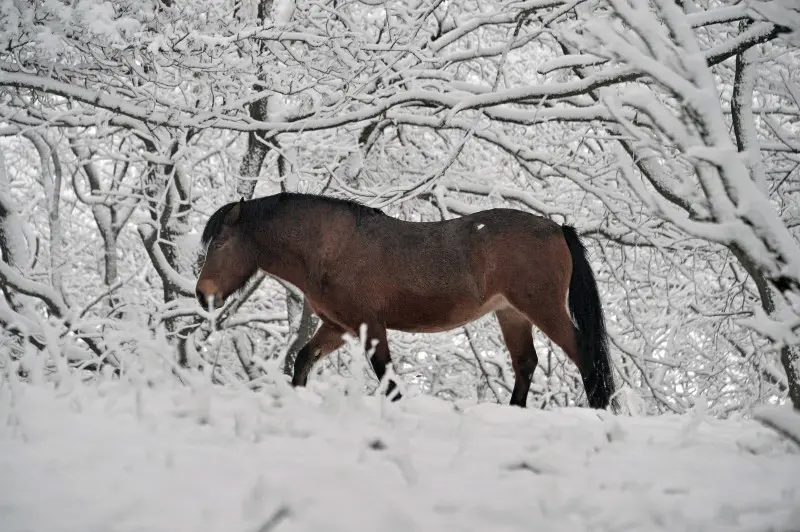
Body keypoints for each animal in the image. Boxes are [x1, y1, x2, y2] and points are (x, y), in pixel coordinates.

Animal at [197, 193, 616, 410]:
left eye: (220, 244)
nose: (202, 294)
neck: (332, 247)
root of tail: (558, 228)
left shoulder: (370, 326)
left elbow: (388, 378)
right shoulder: (338, 327)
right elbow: (303, 360)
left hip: (543, 308)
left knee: (583, 353)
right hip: (512, 314)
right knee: (525, 363)